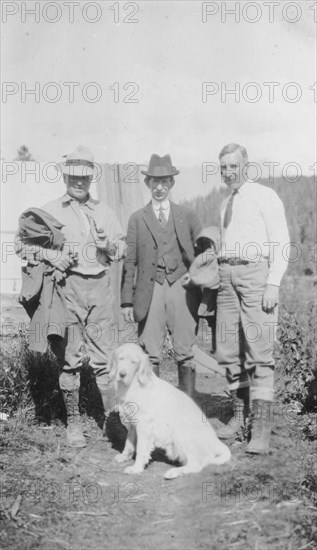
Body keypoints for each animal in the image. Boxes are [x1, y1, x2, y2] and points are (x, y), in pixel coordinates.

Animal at [110, 344, 231, 478]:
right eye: (121, 358)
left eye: (133, 362)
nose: (122, 374)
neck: (133, 384)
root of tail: (217, 442)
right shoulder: (133, 422)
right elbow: (129, 442)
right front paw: (124, 456)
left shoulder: (145, 424)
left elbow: (141, 448)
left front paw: (136, 468)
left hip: (181, 433)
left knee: (197, 465)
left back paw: (174, 472)